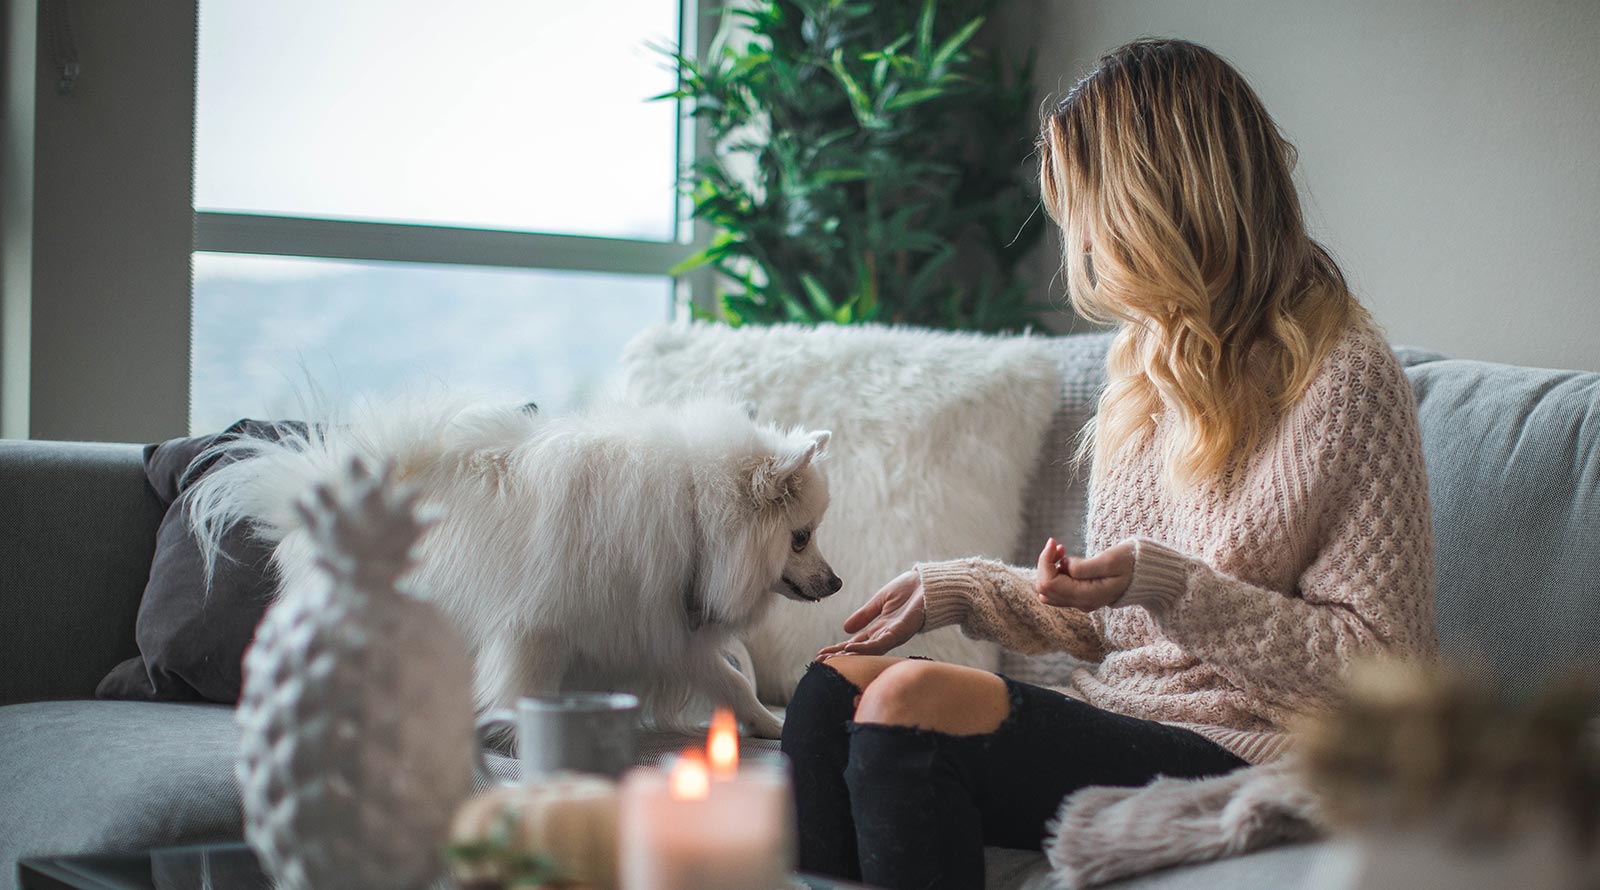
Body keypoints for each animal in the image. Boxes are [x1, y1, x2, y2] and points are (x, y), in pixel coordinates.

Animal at [185, 396, 838, 736]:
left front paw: (769, 725)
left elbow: (730, 681)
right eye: (801, 538)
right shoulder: (536, 631)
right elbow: (525, 688)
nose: (835, 583)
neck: (693, 513)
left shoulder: (659, 628)